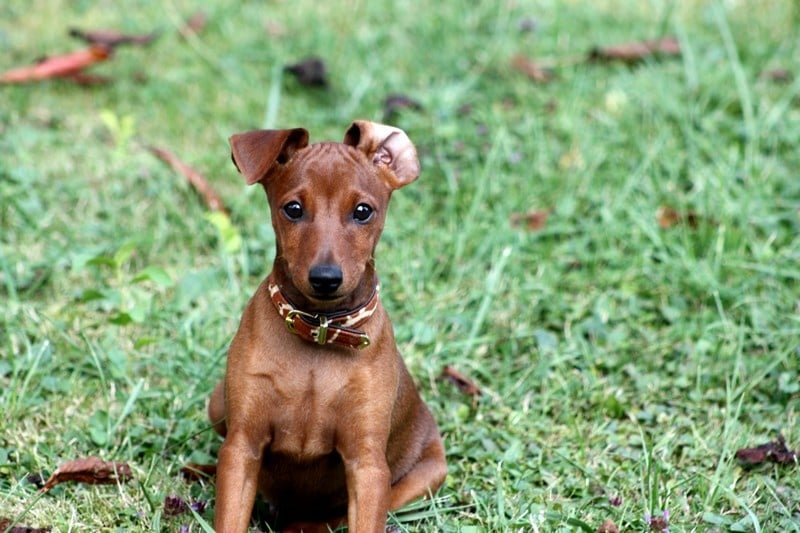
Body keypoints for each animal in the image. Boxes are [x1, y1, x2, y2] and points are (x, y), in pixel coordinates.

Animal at [206, 121, 446, 532]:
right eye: (293, 209)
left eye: (363, 211)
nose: (326, 278)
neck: (319, 330)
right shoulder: (241, 447)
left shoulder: (368, 465)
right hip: (216, 402)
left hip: (427, 475)